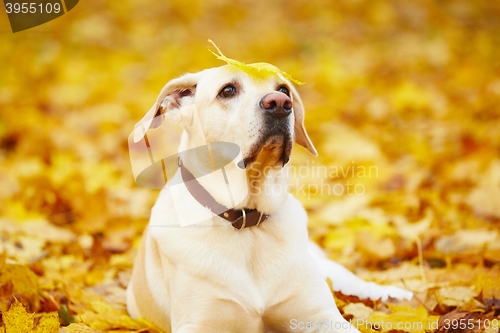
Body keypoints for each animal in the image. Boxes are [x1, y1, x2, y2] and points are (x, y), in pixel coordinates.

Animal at [127, 65, 412, 332]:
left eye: (283, 89)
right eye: (227, 90)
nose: (279, 103)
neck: (247, 219)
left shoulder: (321, 315)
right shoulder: (198, 322)